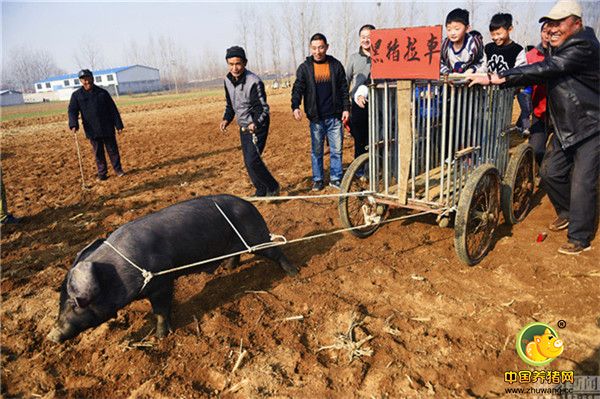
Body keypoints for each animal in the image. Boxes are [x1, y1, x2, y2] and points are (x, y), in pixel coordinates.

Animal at [47, 195, 298, 342]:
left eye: (76, 303)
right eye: (61, 303)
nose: (51, 336)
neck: (118, 271)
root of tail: (250, 204)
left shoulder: (162, 282)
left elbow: (160, 310)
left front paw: (160, 338)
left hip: (257, 236)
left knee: (276, 251)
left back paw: (294, 273)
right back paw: (228, 269)